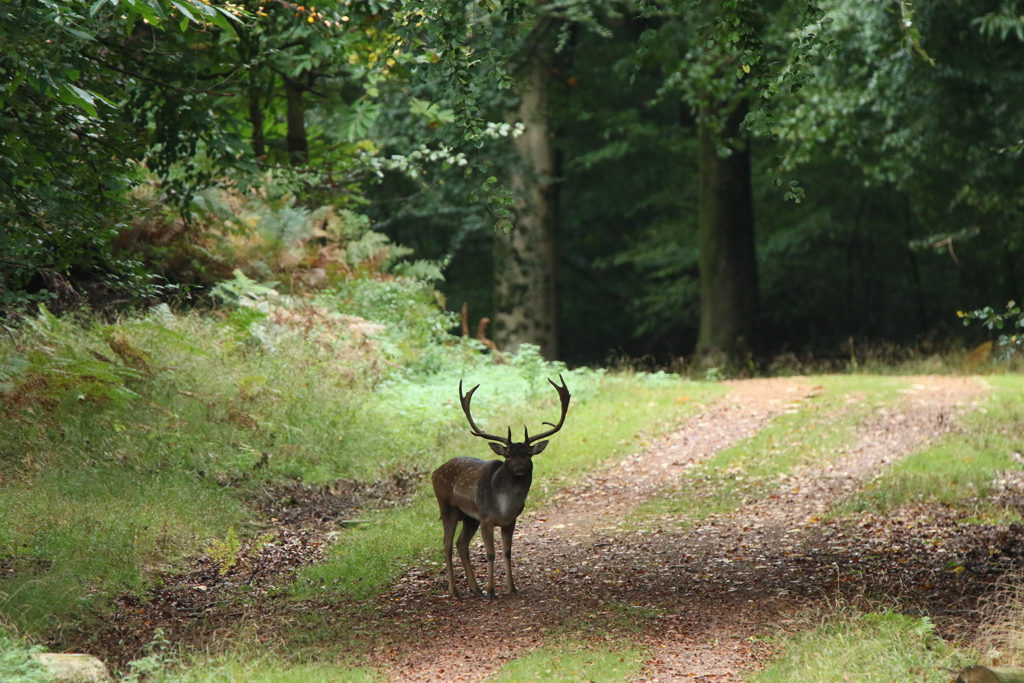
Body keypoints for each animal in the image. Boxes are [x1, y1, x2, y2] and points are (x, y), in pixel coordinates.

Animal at [432, 376, 573, 593]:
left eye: (528, 454)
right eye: (508, 455)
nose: (520, 467)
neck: (504, 507)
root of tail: (434, 472)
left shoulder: (510, 521)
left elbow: (507, 552)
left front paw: (511, 588)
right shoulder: (486, 517)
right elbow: (491, 554)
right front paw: (491, 591)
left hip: (469, 517)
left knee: (461, 544)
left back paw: (475, 588)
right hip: (447, 507)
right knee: (446, 545)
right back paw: (455, 591)